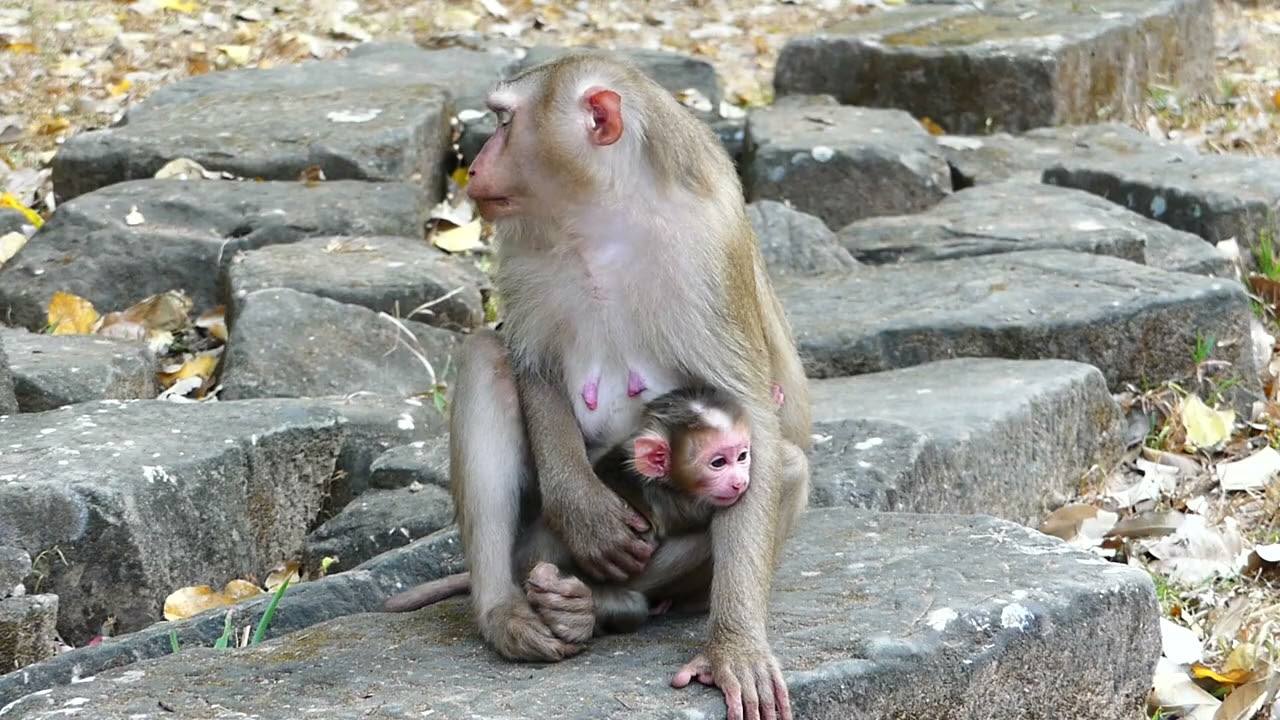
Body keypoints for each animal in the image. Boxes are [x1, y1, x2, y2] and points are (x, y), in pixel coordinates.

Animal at [449, 52, 812, 720]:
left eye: (504, 122)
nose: (478, 164)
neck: (602, 215)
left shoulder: (707, 254)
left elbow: (753, 411)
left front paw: (735, 648)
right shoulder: (523, 243)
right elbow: (531, 365)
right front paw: (585, 511)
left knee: (789, 467)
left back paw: (590, 607)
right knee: (486, 357)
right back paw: (508, 610)